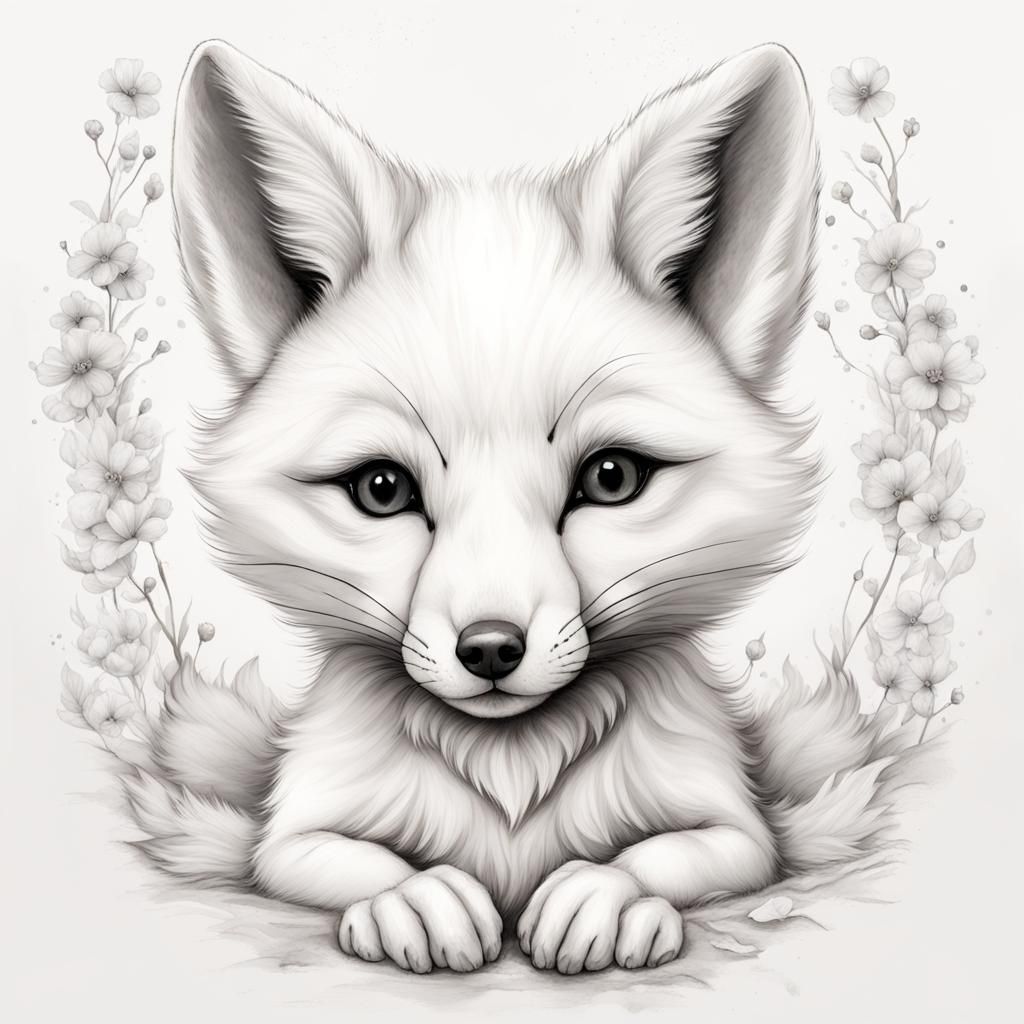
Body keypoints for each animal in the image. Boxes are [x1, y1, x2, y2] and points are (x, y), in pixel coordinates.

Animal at [126, 39, 912, 976]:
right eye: (381, 489)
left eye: (611, 478)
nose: (492, 649)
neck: (508, 780)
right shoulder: (292, 832)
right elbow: (342, 861)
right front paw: (414, 899)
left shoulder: (737, 827)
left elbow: (671, 855)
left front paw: (602, 897)